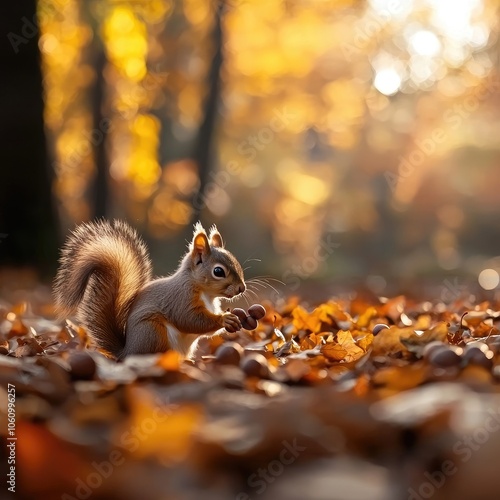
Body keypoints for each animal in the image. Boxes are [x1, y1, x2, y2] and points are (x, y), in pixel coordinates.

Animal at [54, 220, 246, 360]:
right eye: (218, 271)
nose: (241, 288)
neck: (206, 293)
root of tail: (127, 352)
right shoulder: (181, 298)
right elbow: (190, 319)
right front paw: (224, 319)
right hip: (153, 332)